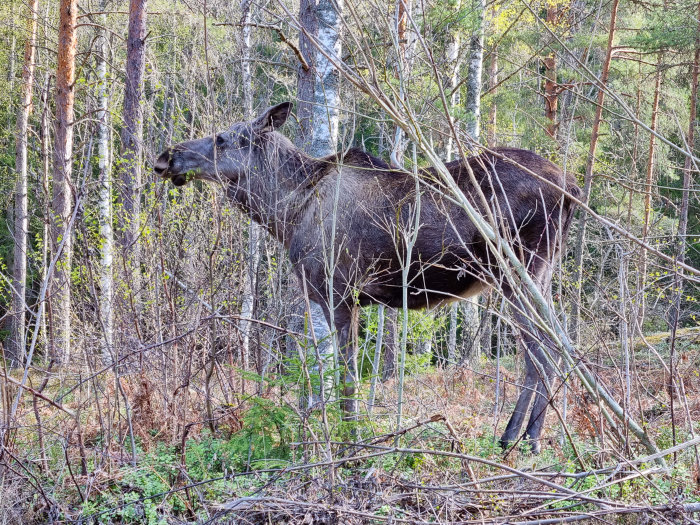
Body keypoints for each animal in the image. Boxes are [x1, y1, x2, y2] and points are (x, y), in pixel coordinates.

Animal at [156, 101, 584, 450]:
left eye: (222, 138)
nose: (165, 157)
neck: (285, 212)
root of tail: (573, 189)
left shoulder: (338, 292)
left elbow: (347, 377)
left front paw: (352, 441)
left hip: (518, 272)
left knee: (542, 349)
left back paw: (520, 436)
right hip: (538, 276)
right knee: (559, 342)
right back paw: (527, 434)